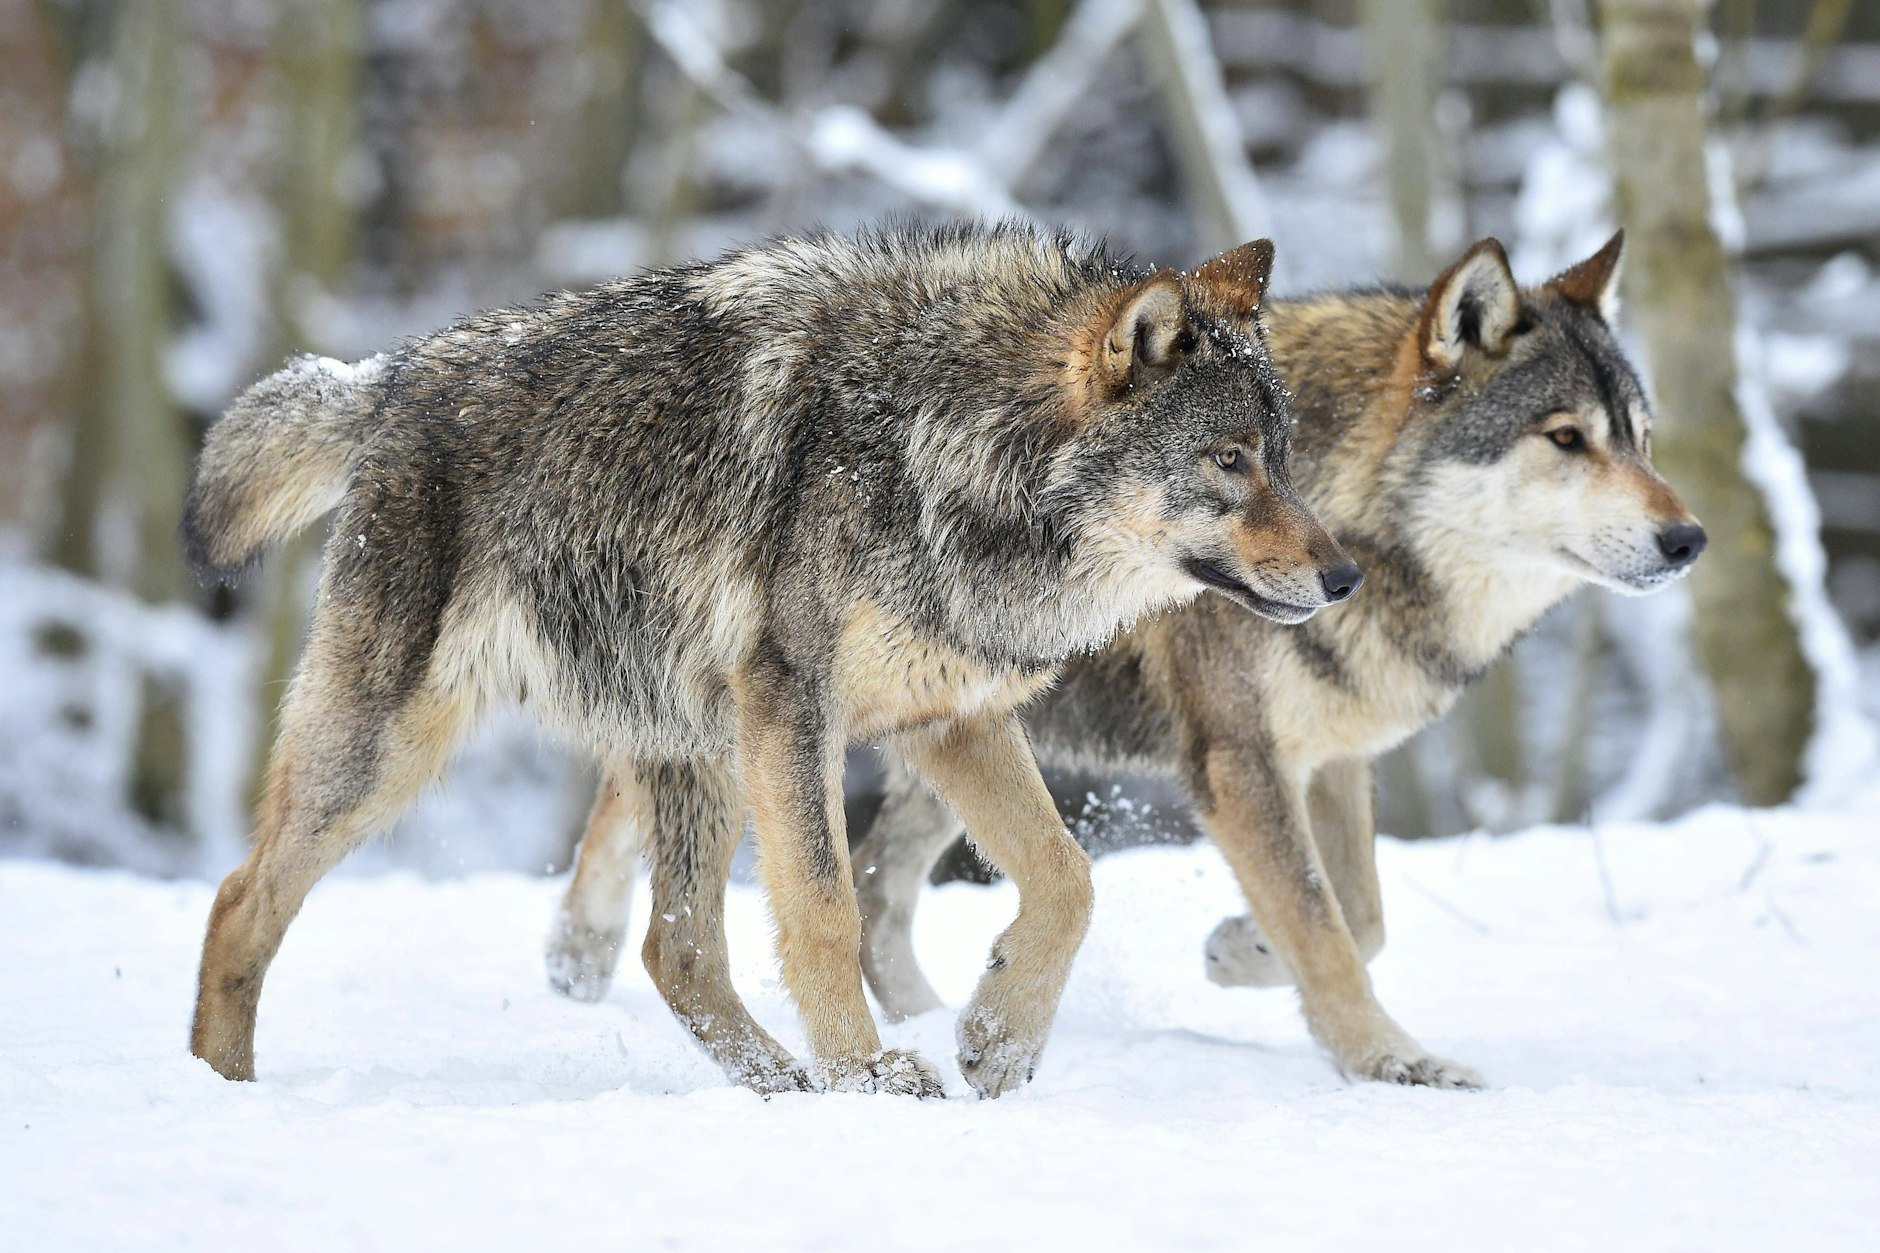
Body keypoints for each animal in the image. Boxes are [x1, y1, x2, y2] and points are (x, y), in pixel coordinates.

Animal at [184, 221, 1357, 1098]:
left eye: (1285, 457)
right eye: (1228, 460)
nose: (1346, 576)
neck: (945, 443)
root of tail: (383, 376)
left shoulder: (950, 715)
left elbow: (1069, 879)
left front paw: (997, 1038)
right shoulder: (800, 707)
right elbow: (830, 911)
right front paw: (868, 1076)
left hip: (694, 750)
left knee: (677, 951)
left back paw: (779, 1086)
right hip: (393, 752)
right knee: (240, 897)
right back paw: (223, 1089)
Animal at [551, 233, 1705, 1090]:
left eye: (1643, 438)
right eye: (1566, 438)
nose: (1688, 538)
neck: (1360, 521)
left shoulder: (1331, 758)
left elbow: (1362, 915)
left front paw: (1239, 951)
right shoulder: (1237, 760)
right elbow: (1327, 926)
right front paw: (1390, 1060)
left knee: (876, 888)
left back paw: (939, 1011)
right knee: (660, 802)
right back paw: (585, 951)